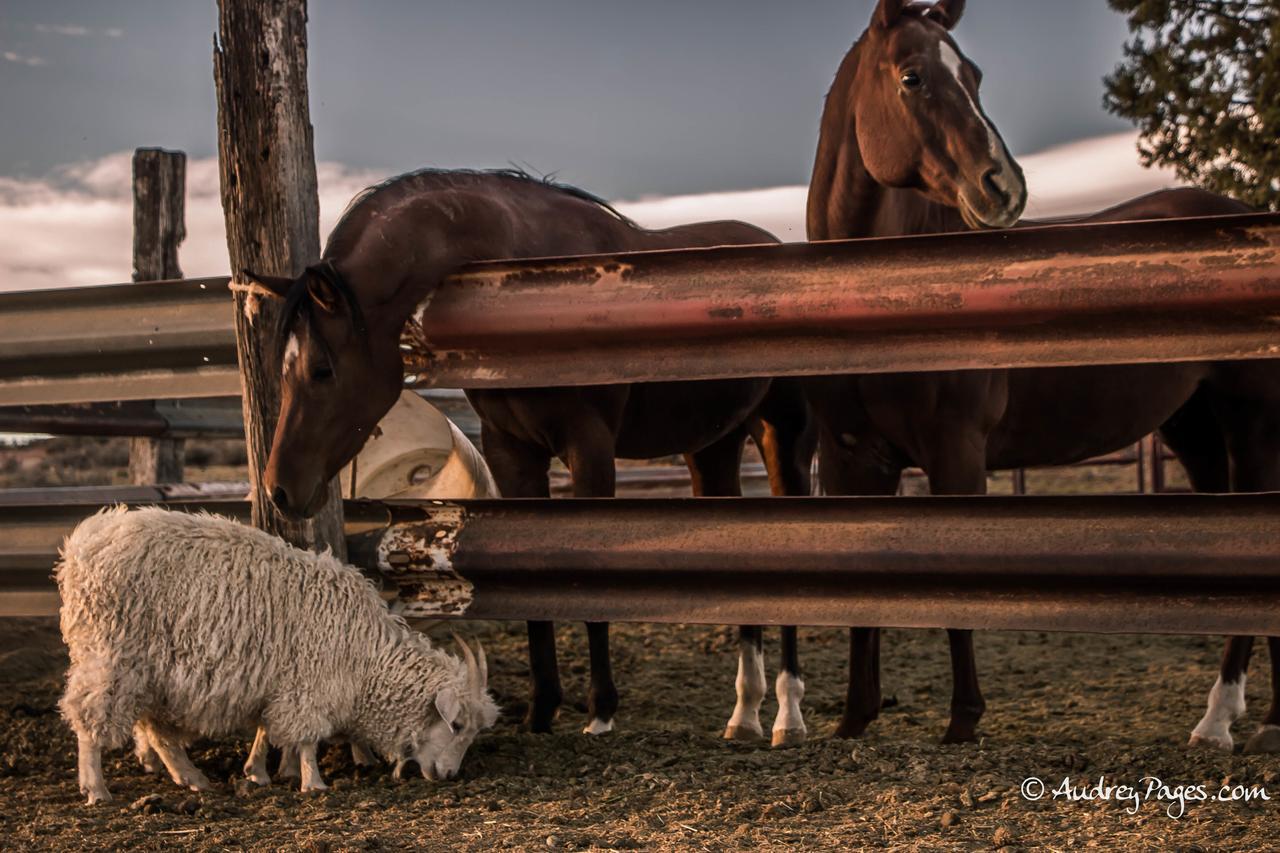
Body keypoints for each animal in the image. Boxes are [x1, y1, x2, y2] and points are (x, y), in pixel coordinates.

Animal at [60, 507, 499, 799]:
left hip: (148, 673)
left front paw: (262, 771)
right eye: (457, 724)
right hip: (111, 657)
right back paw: (96, 787)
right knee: (90, 716)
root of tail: (82, 545)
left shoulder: (278, 682)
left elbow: (266, 729)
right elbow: (305, 738)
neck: (363, 655)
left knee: (153, 726)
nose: (449, 775)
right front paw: (312, 782)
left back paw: (190, 777)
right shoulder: (309, 684)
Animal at [244, 169, 814, 742]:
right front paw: (541, 711)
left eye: (321, 368)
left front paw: (600, 713)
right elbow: (528, 574)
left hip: (783, 440)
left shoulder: (590, 448)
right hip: (712, 448)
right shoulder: (511, 450)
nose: (279, 489)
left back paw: (787, 715)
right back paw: (744, 714)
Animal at [808, 0, 1280, 742]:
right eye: (913, 77)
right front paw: (855, 719)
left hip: (1250, 425)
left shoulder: (956, 453)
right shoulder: (851, 458)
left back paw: (1217, 717)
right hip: (1196, 431)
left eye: (974, 74)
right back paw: (1264, 717)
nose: (1003, 185)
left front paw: (963, 721)